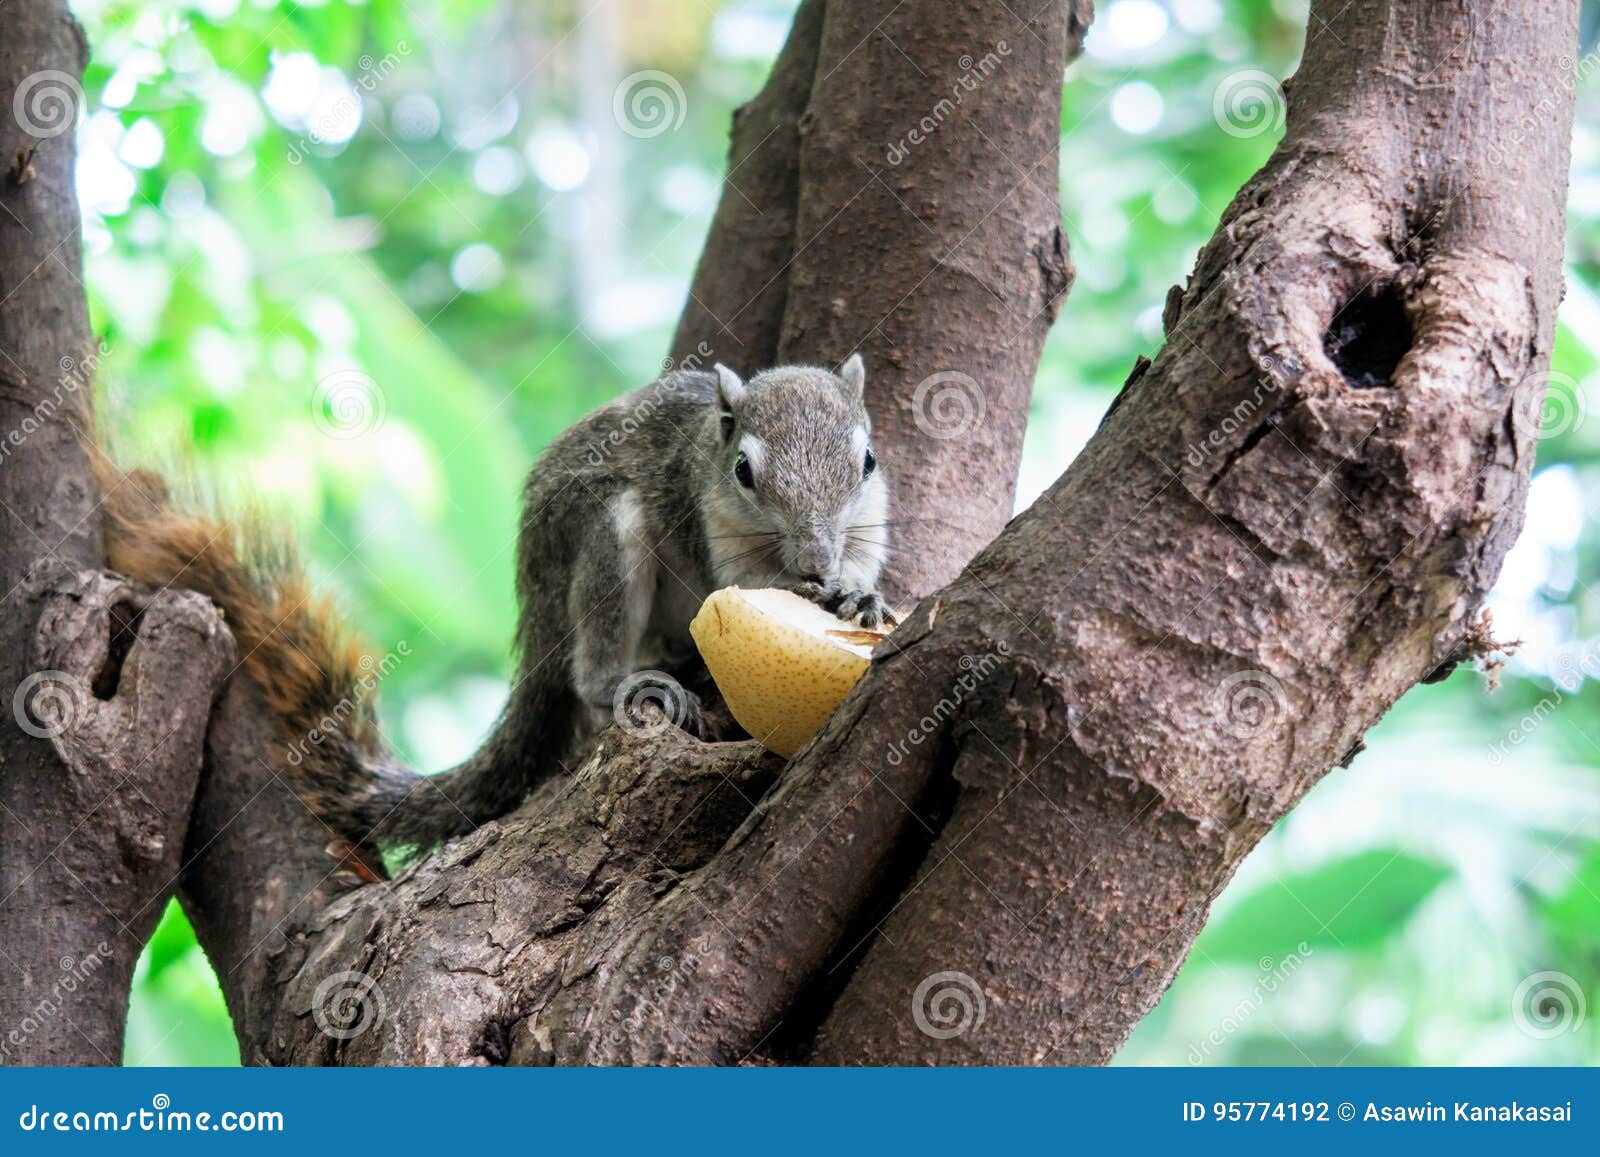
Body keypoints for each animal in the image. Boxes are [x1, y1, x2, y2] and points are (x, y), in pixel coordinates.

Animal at [95, 355, 892, 856]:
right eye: (744, 472)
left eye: (868, 461)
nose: (816, 559)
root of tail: (534, 607)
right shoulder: (708, 522)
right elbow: (742, 581)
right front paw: (805, 591)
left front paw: (860, 595)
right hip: (605, 541)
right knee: (590, 670)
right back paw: (631, 681)